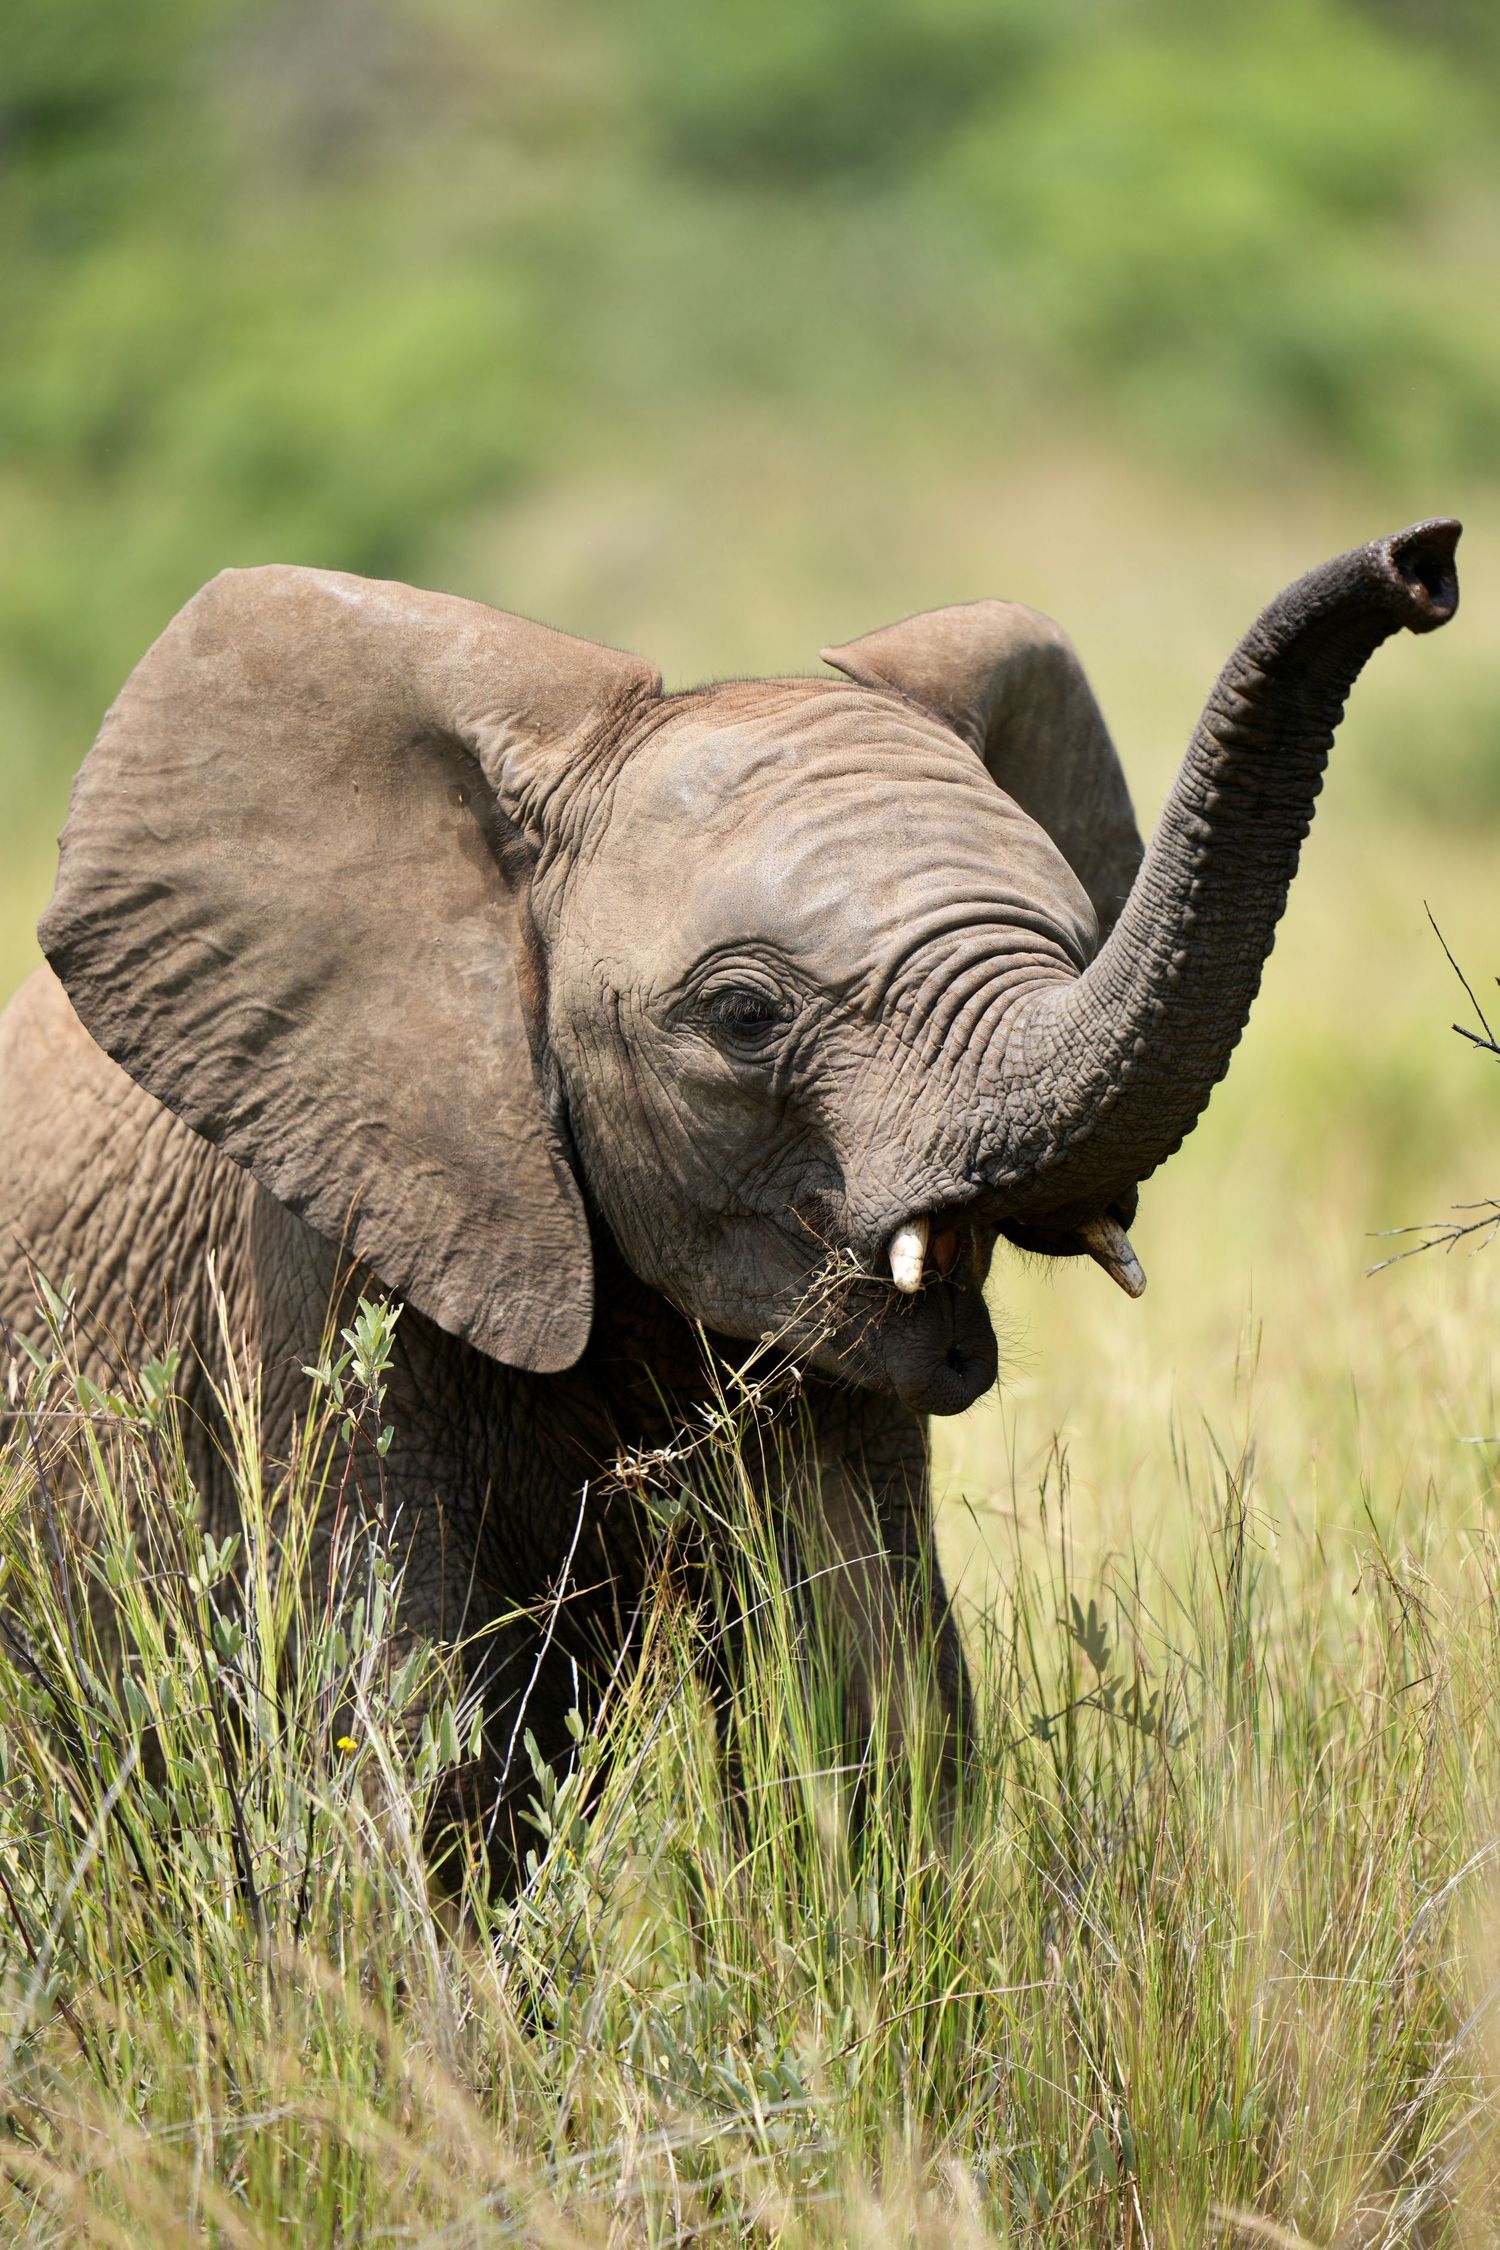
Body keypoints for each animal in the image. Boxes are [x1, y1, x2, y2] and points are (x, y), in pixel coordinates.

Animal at [0, 518, 1460, 1877]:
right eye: (746, 1016)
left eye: (1074, 940)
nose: (1428, 562)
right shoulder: (335, 1235)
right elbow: (416, 1737)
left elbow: (868, 1679)